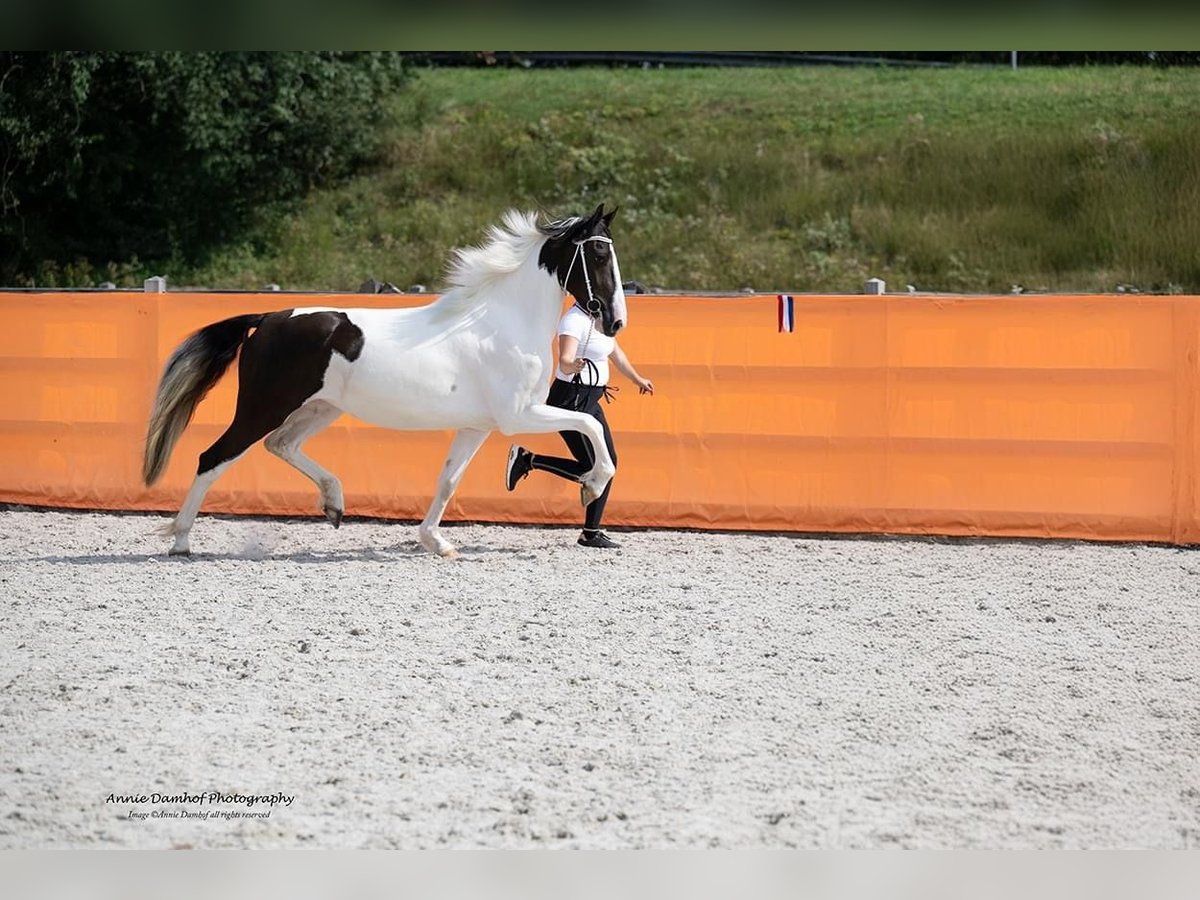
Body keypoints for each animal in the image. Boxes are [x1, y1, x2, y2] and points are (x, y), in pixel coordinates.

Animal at [141, 204, 628, 556]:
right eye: (599, 253)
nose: (615, 321)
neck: (502, 323)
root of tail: (268, 318)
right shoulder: (519, 415)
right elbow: (588, 425)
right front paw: (591, 484)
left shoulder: (477, 426)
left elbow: (448, 481)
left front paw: (437, 543)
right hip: (264, 406)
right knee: (213, 457)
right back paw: (181, 541)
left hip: (319, 408)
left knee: (280, 445)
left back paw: (334, 504)